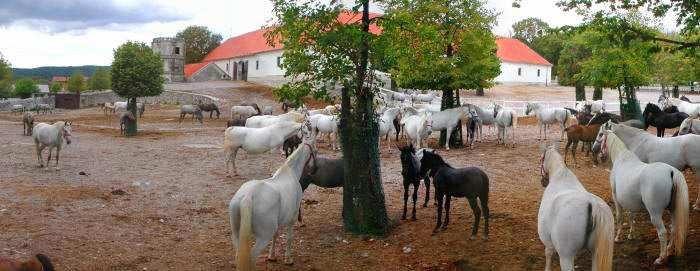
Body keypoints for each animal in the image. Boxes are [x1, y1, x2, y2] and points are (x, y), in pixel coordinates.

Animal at [230, 134, 318, 271]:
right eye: (316, 151)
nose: (315, 169)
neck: (290, 173)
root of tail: (248, 196)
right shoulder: (292, 218)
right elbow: (289, 238)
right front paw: (288, 259)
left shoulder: (277, 222)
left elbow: (275, 236)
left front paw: (272, 256)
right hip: (262, 238)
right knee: (252, 257)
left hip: (237, 235)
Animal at [596, 132, 688, 266]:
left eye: (600, 135)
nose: (598, 154)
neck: (622, 159)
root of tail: (671, 172)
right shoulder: (630, 202)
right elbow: (631, 217)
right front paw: (630, 235)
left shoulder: (616, 199)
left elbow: (619, 217)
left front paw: (617, 237)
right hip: (673, 210)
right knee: (673, 228)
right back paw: (669, 249)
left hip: (655, 214)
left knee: (662, 232)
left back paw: (661, 258)